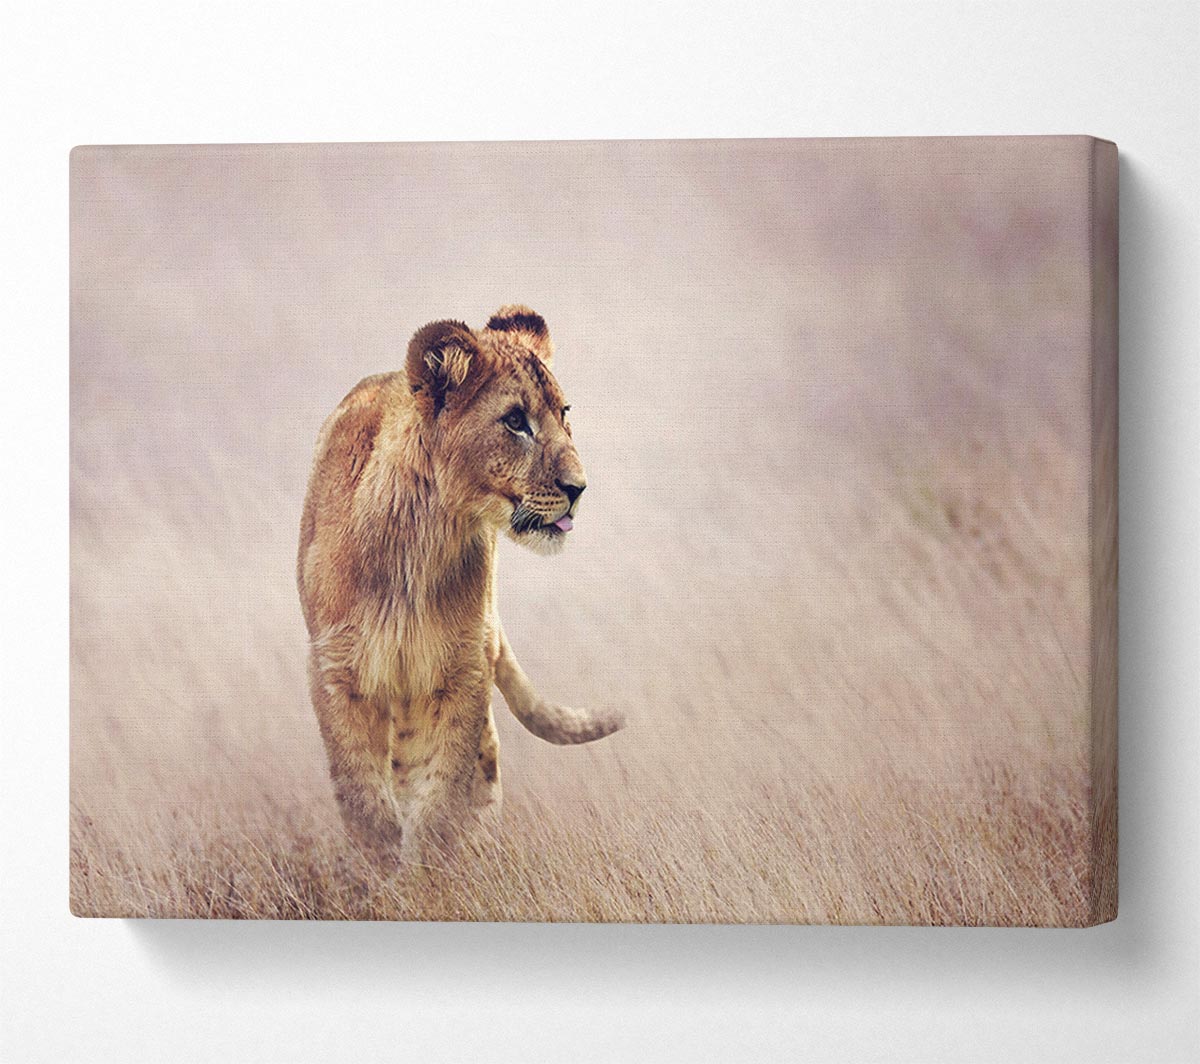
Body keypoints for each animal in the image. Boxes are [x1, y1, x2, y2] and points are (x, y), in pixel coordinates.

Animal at [297, 305, 622, 866]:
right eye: (515, 421)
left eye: (564, 413)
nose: (579, 489)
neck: (423, 540)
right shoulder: (337, 669)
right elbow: (361, 794)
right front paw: (381, 868)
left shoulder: (463, 668)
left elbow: (444, 797)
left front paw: (432, 869)